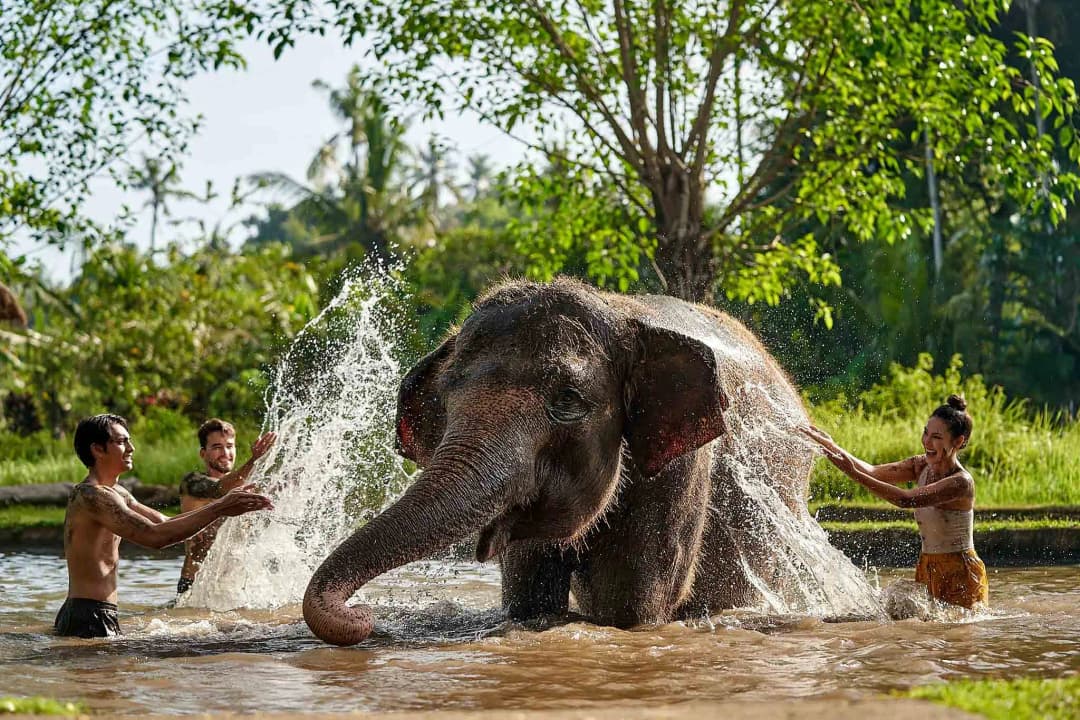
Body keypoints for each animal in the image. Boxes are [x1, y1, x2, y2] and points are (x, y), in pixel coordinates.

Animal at [302, 277, 816, 646]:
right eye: (445, 394)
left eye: (568, 400)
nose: (364, 613)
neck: (621, 311)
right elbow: (530, 597)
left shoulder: (682, 470)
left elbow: (629, 607)